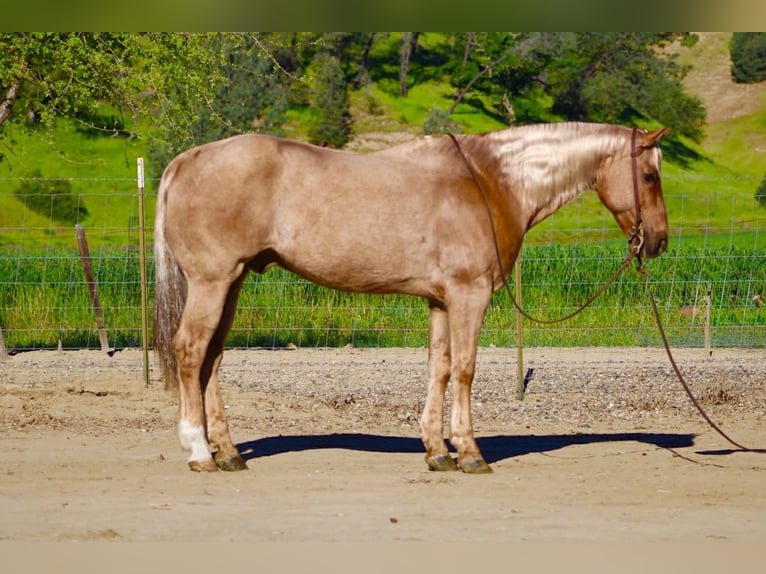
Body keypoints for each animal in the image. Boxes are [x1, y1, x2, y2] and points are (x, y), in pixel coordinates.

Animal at [153, 121, 670, 474]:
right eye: (649, 175)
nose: (659, 241)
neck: (490, 181)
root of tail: (186, 161)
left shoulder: (440, 300)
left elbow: (438, 368)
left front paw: (438, 451)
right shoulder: (468, 294)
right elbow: (465, 369)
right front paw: (470, 452)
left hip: (232, 283)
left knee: (212, 359)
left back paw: (228, 452)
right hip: (212, 283)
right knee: (190, 351)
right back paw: (198, 450)